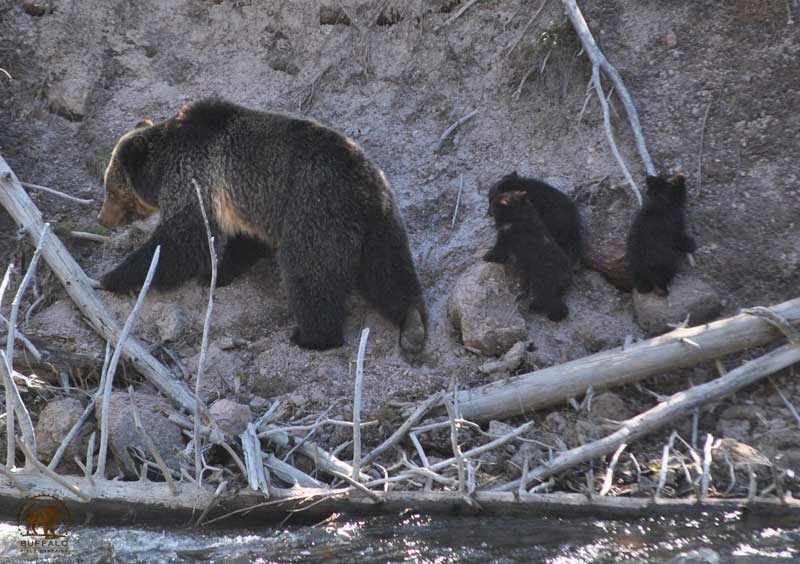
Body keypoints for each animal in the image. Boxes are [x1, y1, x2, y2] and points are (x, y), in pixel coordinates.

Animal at [97, 98, 427, 353]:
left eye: (111, 189)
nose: (102, 218)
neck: (164, 165)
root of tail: (363, 185)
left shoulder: (195, 181)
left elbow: (181, 241)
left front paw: (112, 277)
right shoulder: (244, 203)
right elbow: (242, 243)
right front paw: (217, 274)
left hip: (315, 213)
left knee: (310, 275)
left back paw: (311, 336)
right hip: (381, 223)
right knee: (389, 273)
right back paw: (412, 324)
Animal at [484, 190, 572, 321]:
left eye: (493, 205)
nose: (488, 212)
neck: (520, 213)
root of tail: (566, 276)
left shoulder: (506, 237)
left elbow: (499, 249)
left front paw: (488, 256)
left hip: (542, 280)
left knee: (549, 300)